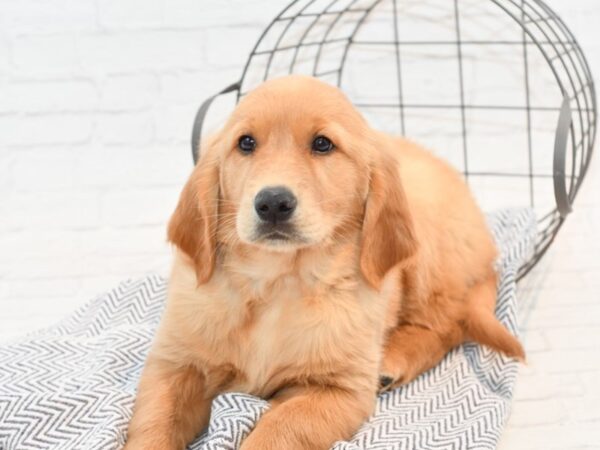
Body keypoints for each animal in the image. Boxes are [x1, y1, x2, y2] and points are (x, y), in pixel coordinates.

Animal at [124, 75, 524, 448]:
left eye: (322, 144)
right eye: (246, 143)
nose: (273, 203)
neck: (277, 283)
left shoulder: (340, 391)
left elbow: (281, 427)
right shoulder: (174, 364)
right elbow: (154, 422)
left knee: (448, 323)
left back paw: (393, 360)